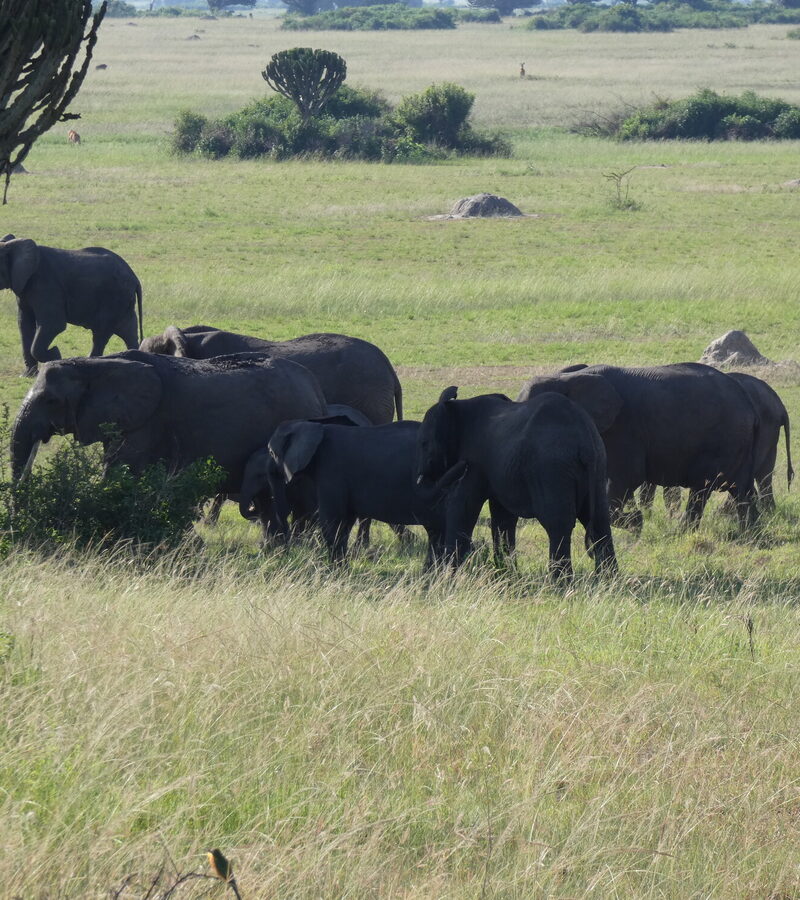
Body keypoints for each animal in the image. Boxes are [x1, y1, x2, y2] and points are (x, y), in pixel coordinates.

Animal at [0, 235, 143, 376]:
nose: (55, 351)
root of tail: (135, 278)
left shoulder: (46, 285)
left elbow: (53, 324)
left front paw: (55, 355)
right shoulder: (24, 287)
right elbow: (24, 324)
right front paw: (28, 375)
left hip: (114, 297)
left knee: (101, 333)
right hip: (123, 300)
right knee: (128, 331)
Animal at [250, 419, 462, 564]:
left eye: (271, 452)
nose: (282, 549)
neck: (316, 427)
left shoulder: (331, 470)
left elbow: (332, 522)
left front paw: (335, 571)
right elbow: (345, 522)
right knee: (438, 533)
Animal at [416, 387, 617, 578]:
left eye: (424, 444)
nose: (462, 465)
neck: (456, 407)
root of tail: (584, 440)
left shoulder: (476, 463)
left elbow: (463, 506)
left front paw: (448, 576)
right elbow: (503, 518)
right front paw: (506, 574)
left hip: (551, 469)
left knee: (557, 524)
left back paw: (560, 584)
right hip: (597, 465)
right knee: (599, 521)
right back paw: (607, 581)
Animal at [517, 363, 760, 532]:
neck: (568, 378)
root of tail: (747, 401)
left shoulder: (624, 427)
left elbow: (626, 477)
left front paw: (636, 522)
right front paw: (635, 522)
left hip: (724, 439)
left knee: (703, 488)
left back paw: (683, 532)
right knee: (743, 489)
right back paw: (750, 534)